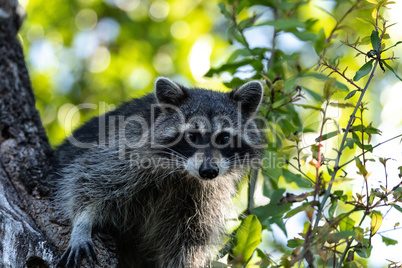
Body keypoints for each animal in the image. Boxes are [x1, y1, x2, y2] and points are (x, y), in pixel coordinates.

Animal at [55, 76, 264, 266]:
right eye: (192, 136)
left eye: (224, 138)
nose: (208, 171)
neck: (184, 174)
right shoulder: (129, 147)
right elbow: (89, 179)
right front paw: (83, 222)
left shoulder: (206, 197)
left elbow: (188, 242)